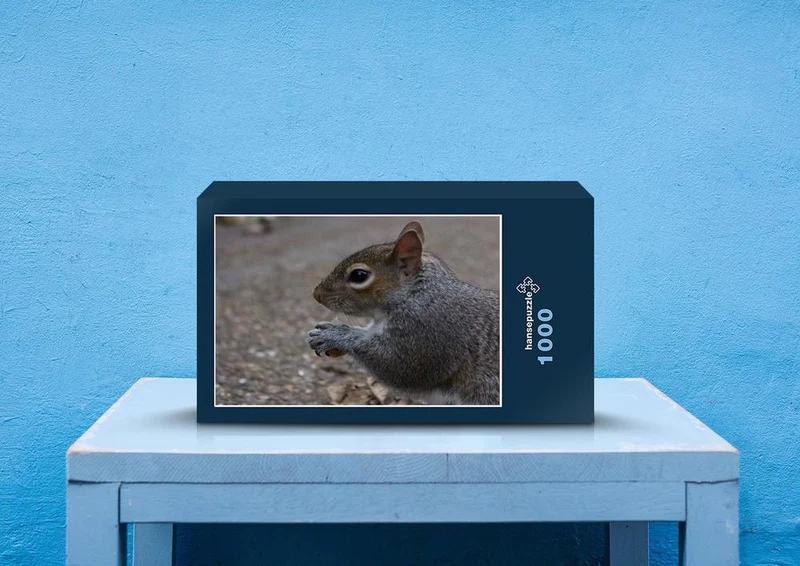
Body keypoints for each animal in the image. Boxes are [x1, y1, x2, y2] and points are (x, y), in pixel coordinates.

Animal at [307, 221, 499, 405]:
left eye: (359, 275)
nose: (317, 294)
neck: (416, 294)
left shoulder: (429, 331)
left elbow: (399, 366)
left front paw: (335, 334)